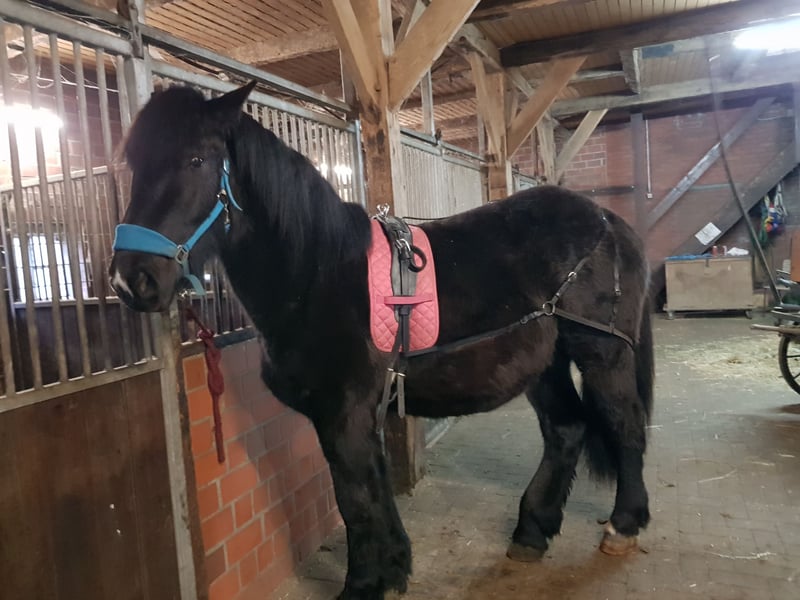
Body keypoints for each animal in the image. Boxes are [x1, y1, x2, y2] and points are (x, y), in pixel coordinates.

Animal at [109, 82, 654, 600]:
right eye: (134, 163)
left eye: (196, 160)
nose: (130, 281)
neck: (318, 271)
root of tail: (608, 222)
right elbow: (372, 489)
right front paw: (392, 569)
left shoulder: (345, 411)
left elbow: (355, 498)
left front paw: (363, 583)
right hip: (545, 364)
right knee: (566, 430)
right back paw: (531, 532)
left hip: (602, 353)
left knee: (624, 425)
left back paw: (622, 527)